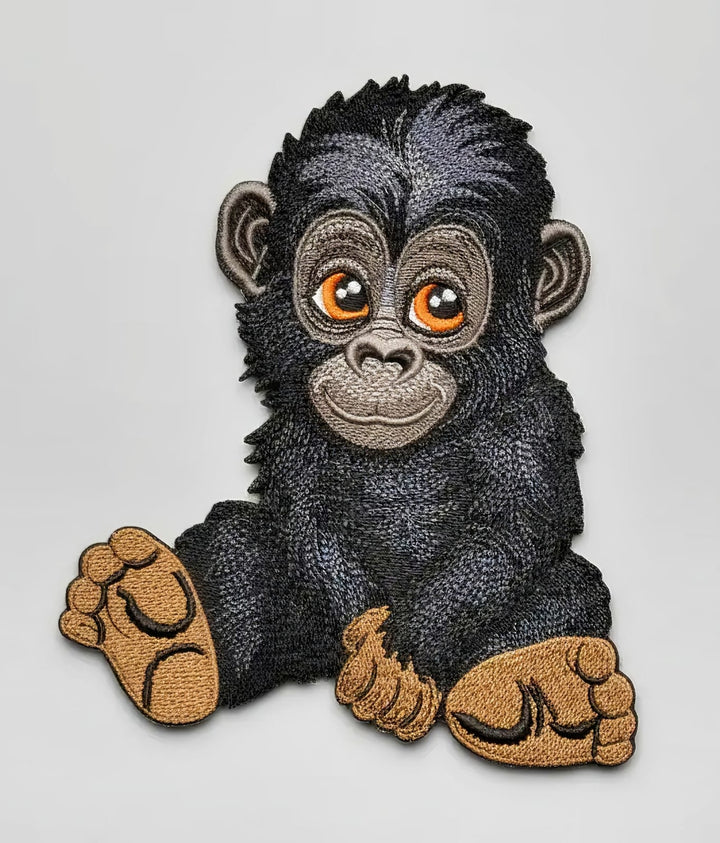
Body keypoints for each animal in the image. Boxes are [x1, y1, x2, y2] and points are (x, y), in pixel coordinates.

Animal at [60, 78, 636, 767]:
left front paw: (401, 655)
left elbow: (516, 523)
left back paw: (549, 691)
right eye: (346, 293)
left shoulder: (533, 417)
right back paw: (160, 637)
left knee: (570, 591)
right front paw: (370, 637)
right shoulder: (294, 421)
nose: (383, 355)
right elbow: (304, 515)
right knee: (240, 548)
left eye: (441, 303)